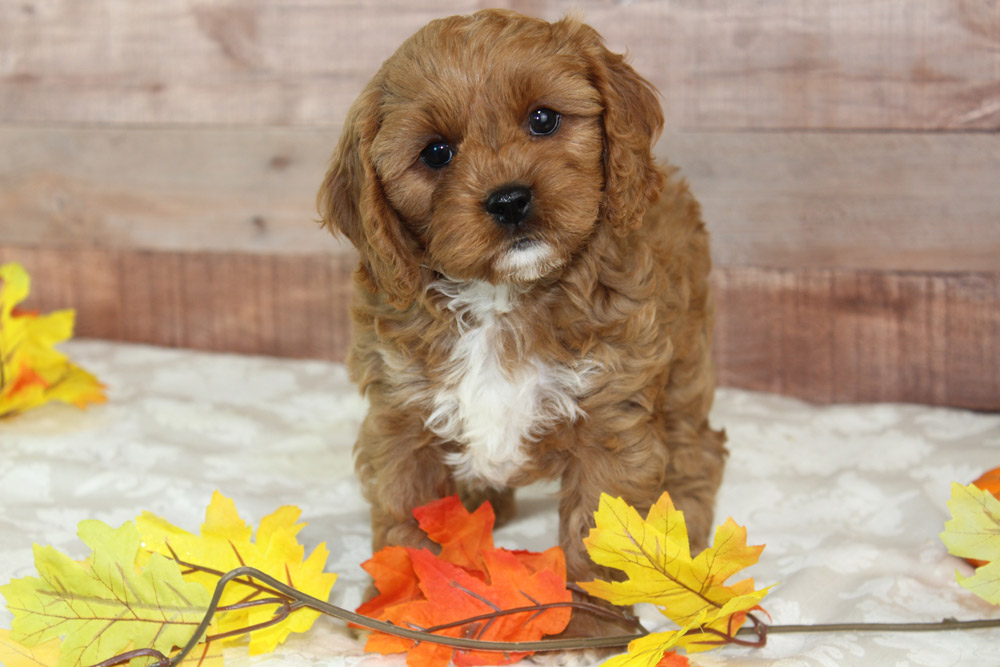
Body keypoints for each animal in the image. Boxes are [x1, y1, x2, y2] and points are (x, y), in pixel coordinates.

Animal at [319, 9, 727, 635]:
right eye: (436, 152)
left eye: (543, 119)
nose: (509, 200)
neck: (501, 296)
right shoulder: (401, 415)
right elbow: (405, 516)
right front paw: (404, 606)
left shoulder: (612, 410)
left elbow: (597, 528)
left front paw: (593, 625)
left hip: (684, 359)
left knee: (697, 445)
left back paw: (678, 534)